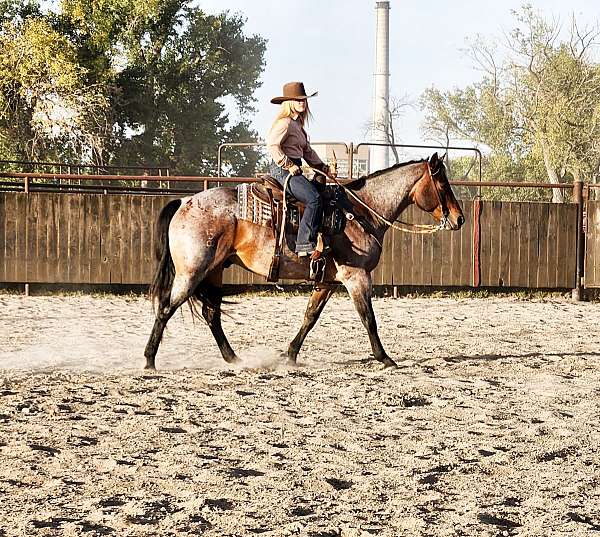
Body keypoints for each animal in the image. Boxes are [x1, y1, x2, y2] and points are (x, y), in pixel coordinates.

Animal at [144, 151, 464, 368]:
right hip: (192, 272)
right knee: (166, 308)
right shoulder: (356, 276)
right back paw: (149, 360)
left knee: (211, 314)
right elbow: (368, 318)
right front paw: (385, 358)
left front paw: (290, 355)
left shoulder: (327, 281)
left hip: (213, 271)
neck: (361, 212)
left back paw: (233, 358)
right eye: (443, 185)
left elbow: (310, 317)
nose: (459, 218)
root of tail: (184, 202)